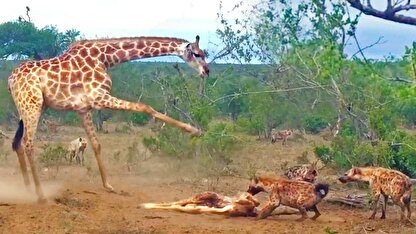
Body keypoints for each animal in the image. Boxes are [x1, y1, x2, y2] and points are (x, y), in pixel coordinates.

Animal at [8, 35, 211, 202]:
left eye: (204, 53)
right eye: (197, 54)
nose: (207, 71)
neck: (105, 58)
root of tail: (10, 80)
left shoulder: (83, 108)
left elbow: (96, 144)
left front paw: (108, 186)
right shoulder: (98, 97)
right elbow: (145, 107)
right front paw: (193, 130)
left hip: (28, 108)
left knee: (17, 143)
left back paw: (27, 189)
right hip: (32, 105)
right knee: (28, 143)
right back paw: (40, 195)